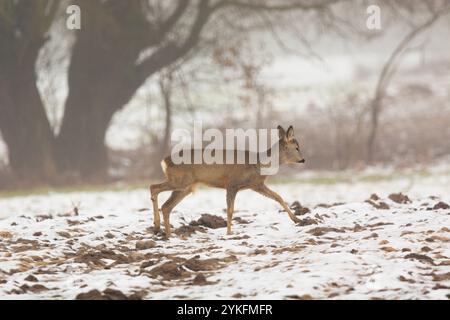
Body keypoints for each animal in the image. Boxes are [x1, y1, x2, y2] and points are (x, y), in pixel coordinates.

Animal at [151, 126, 306, 236]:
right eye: (297, 147)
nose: (303, 160)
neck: (259, 164)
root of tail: (164, 161)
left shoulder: (256, 184)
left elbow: (278, 197)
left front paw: (297, 219)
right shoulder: (233, 184)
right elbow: (230, 210)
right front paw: (229, 232)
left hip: (185, 187)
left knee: (166, 206)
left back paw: (167, 234)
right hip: (180, 181)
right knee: (154, 187)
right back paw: (158, 227)